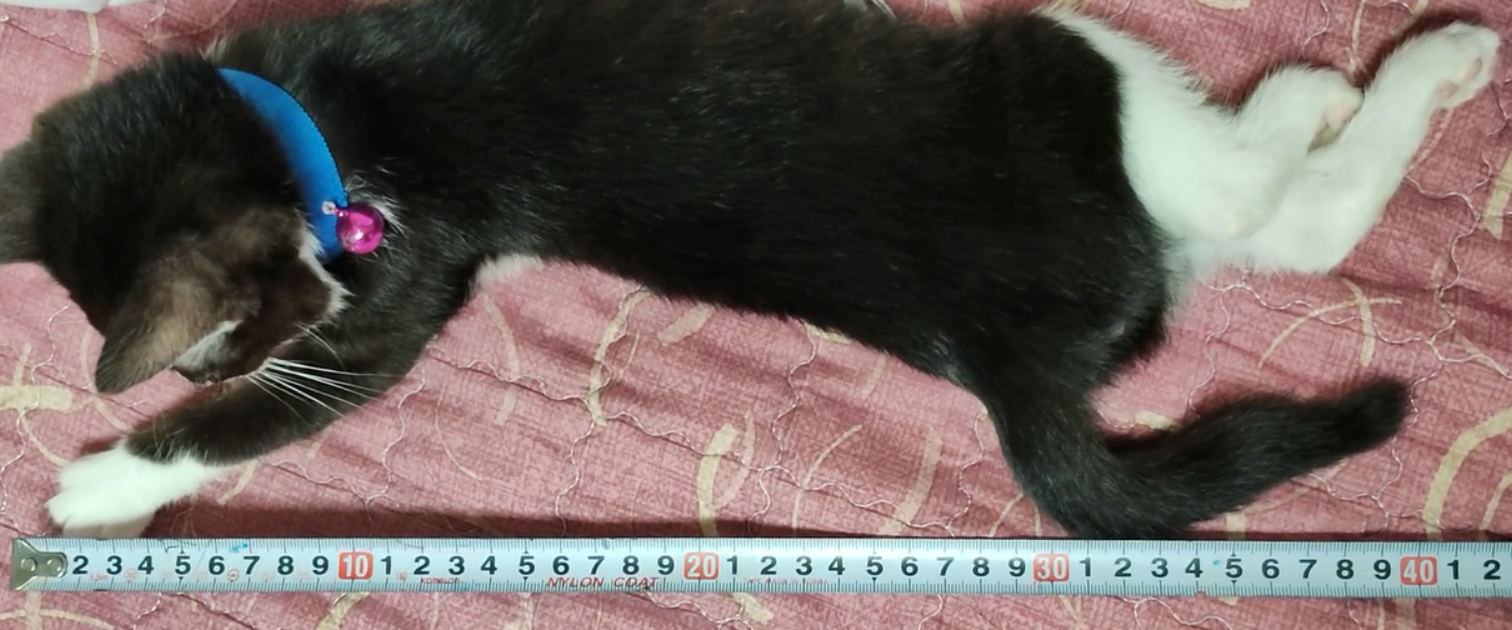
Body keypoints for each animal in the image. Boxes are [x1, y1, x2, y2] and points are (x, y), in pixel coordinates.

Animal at [0, 0, 1499, 539]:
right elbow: (282, 410)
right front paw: (107, 480)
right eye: (235, 344)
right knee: (1268, 204)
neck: (310, 119)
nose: (292, 331)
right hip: (1057, 66)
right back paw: (1377, 76)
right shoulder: (397, 299)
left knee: (1274, 223)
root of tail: (1003, 356)